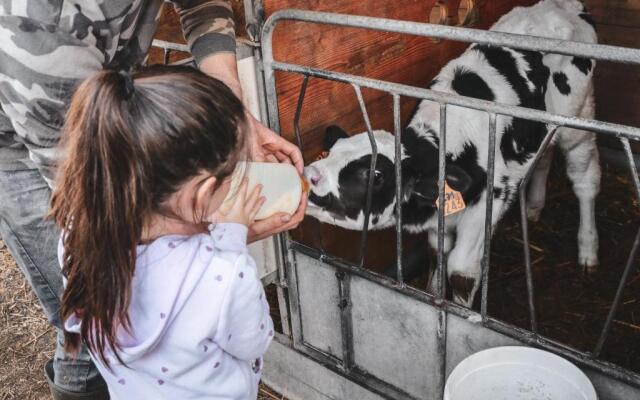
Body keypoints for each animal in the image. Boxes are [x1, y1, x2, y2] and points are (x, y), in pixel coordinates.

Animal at [304, 0, 600, 306]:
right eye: (328, 152)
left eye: (375, 174)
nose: (310, 175)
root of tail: (562, 6)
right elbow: (438, 252)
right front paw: (435, 297)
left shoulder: (491, 198)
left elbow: (461, 270)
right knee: (544, 157)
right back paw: (533, 207)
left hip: (578, 120)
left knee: (585, 180)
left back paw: (588, 250)